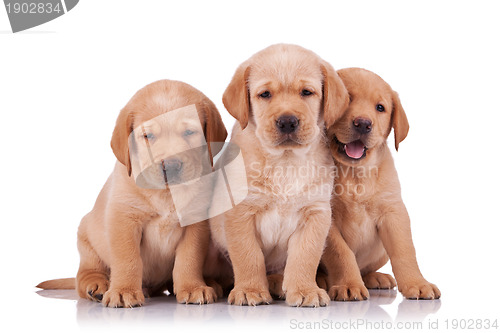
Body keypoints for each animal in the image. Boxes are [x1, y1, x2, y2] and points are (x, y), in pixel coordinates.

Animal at [37, 80, 227, 306]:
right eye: (148, 136)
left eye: (190, 132)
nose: (170, 166)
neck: (166, 194)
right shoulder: (123, 221)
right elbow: (128, 259)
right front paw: (123, 290)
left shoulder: (196, 223)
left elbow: (189, 258)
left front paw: (192, 287)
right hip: (86, 238)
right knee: (83, 275)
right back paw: (98, 285)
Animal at [322, 67, 440, 298]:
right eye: (347, 99)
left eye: (380, 108)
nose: (363, 123)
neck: (354, 174)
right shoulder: (326, 218)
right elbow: (342, 253)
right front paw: (349, 285)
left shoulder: (393, 212)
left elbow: (405, 250)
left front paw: (417, 283)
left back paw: (375, 277)